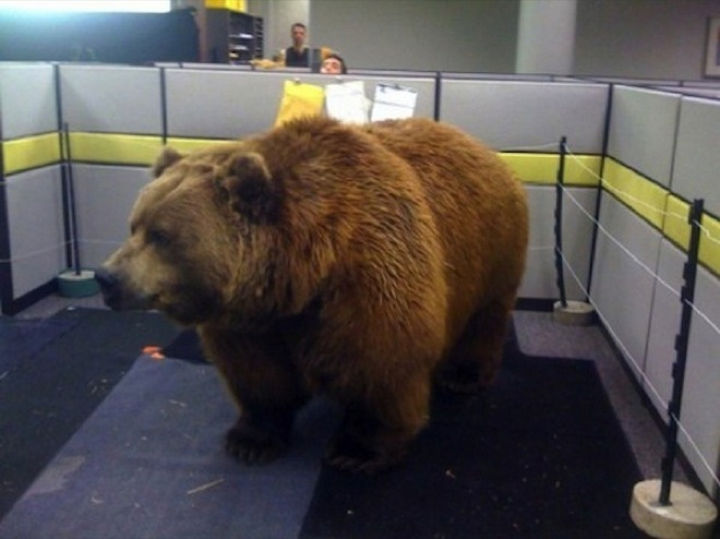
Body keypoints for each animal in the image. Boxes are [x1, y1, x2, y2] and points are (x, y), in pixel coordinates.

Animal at [96, 116, 528, 474]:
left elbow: (380, 367)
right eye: (134, 224)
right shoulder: (251, 321)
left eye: (162, 235)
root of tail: (478, 145)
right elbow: (258, 375)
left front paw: (356, 450)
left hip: (490, 247)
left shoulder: (369, 280)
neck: (301, 275)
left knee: (485, 317)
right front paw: (251, 439)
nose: (106, 276)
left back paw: (463, 374)